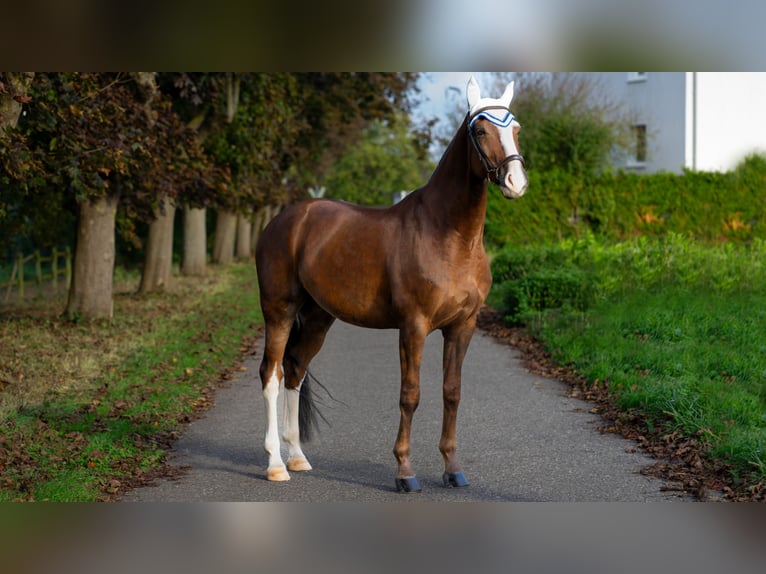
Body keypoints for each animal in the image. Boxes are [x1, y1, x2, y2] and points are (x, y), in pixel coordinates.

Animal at [256, 74, 528, 492]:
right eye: (480, 130)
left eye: (515, 129)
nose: (516, 182)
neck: (449, 235)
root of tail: (287, 219)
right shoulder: (413, 326)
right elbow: (410, 395)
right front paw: (405, 472)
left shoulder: (462, 327)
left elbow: (452, 393)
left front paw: (452, 469)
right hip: (279, 311)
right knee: (272, 374)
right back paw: (275, 465)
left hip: (318, 317)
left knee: (295, 369)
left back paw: (298, 457)